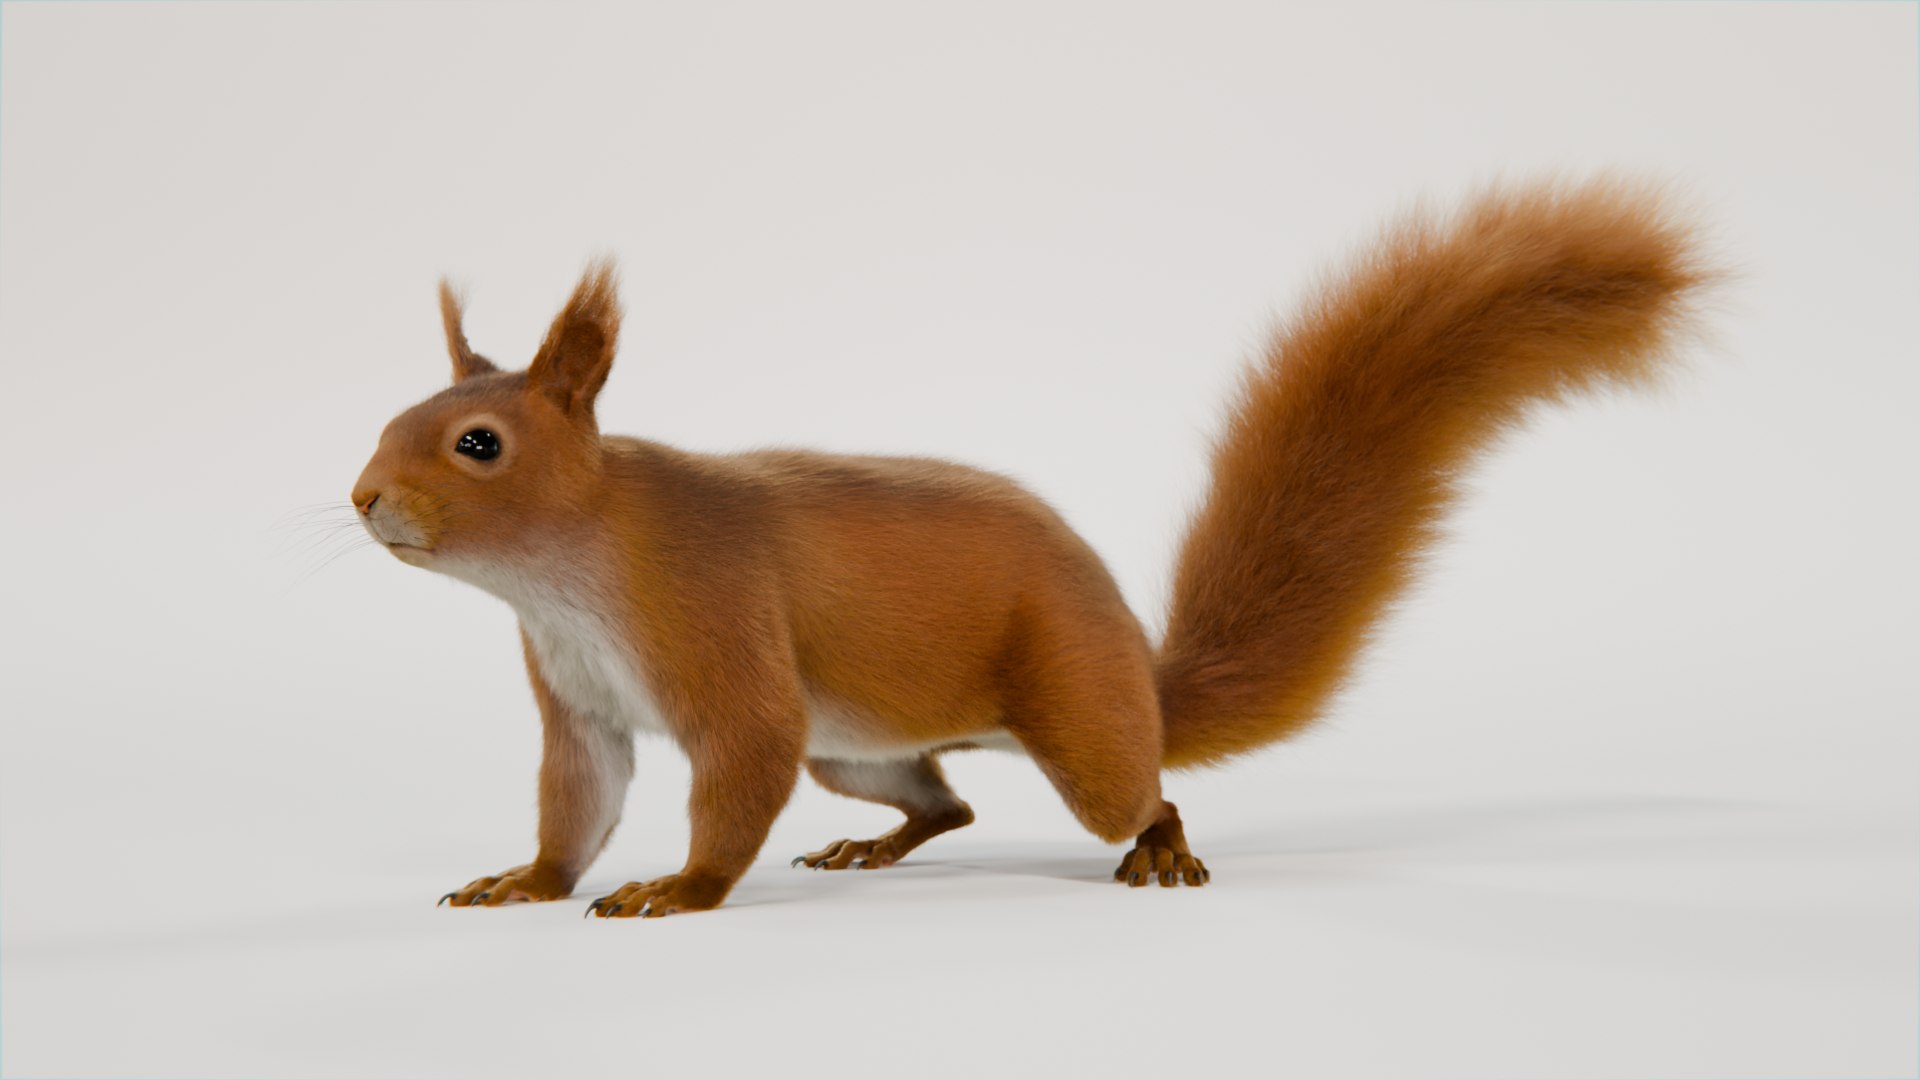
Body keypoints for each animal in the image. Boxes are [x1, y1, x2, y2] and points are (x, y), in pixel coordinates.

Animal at [352, 179, 1708, 919]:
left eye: (478, 444)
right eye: (391, 418)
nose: (364, 499)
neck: (569, 576)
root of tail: (1133, 669)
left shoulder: (720, 627)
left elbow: (736, 769)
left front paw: (675, 891)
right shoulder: (578, 699)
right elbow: (578, 799)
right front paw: (532, 879)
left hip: (1074, 720)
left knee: (1134, 789)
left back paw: (1163, 850)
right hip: (859, 745)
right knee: (945, 800)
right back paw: (871, 843)